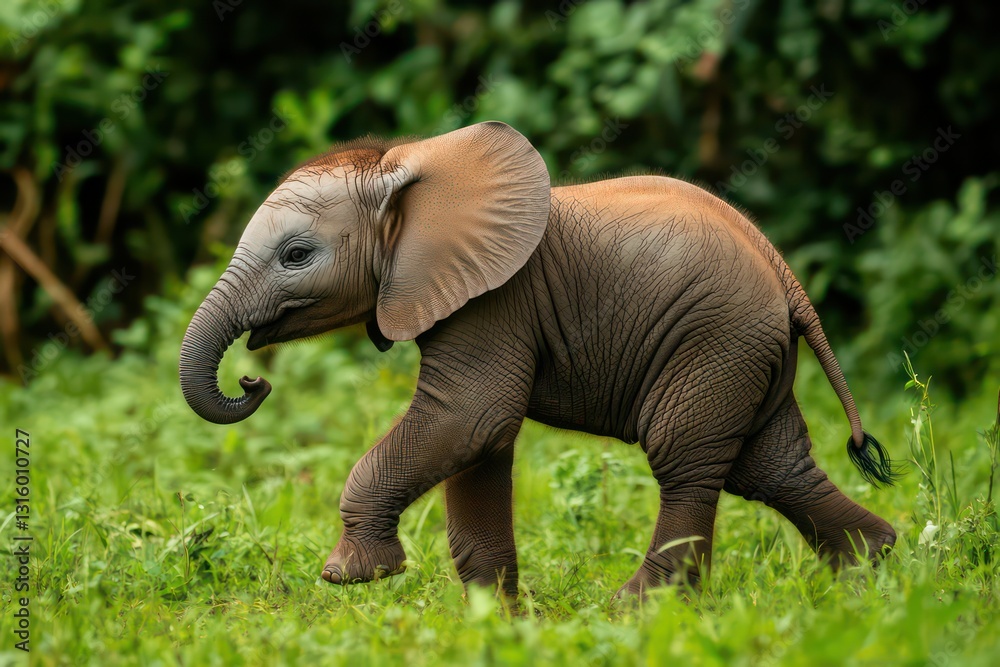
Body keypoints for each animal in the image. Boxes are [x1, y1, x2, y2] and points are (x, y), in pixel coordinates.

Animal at [179, 121, 897, 597]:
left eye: (296, 255)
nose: (252, 378)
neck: (402, 163)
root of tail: (787, 277)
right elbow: (480, 442)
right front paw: (494, 616)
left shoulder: (493, 302)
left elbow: (470, 419)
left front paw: (351, 576)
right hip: (745, 354)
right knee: (772, 466)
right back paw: (872, 574)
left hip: (713, 341)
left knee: (686, 460)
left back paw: (638, 609)